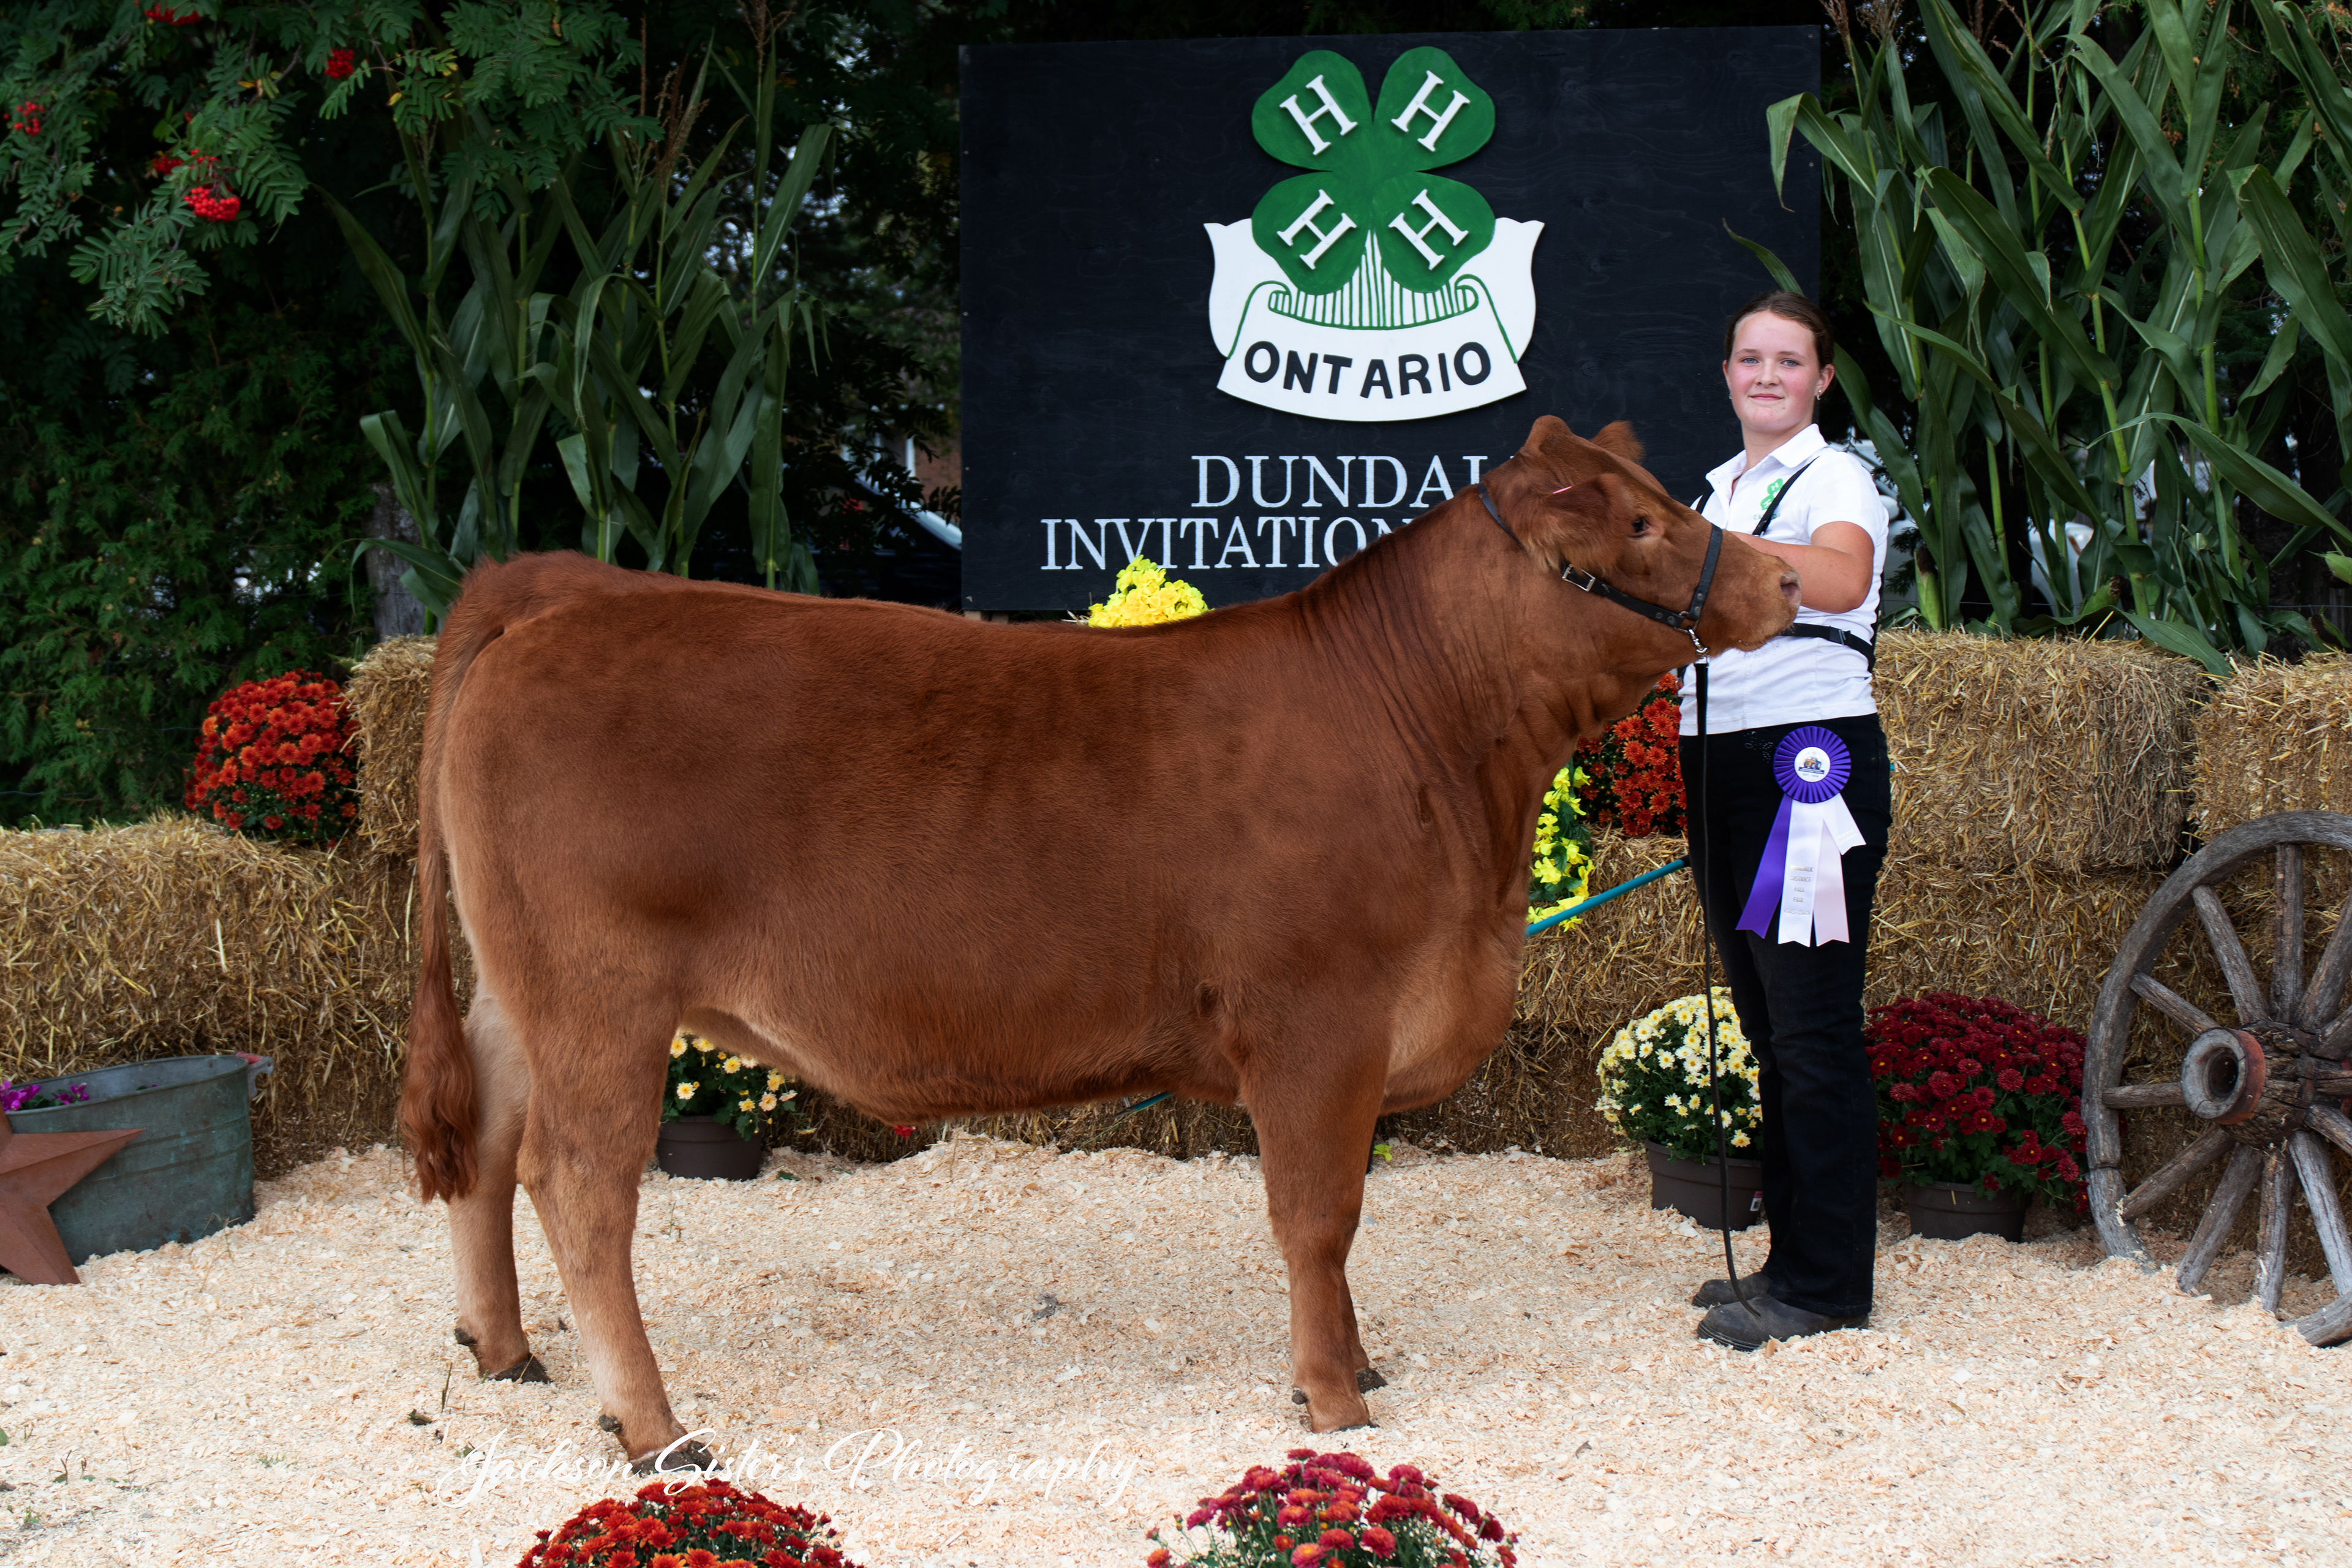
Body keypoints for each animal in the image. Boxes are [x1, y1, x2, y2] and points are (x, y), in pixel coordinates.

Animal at [398, 414, 1799, 1465]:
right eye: (1639, 526)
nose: (1788, 577)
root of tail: (563, 586)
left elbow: (1336, 1224)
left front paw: (1353, 1359)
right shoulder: (1317, 1022)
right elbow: (1319, 1216)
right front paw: (1335, 1397)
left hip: (520, 989)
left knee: (490, 1141)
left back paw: (504, 1349)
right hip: (603, 994)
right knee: (580, 1183)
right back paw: (655, 1428)